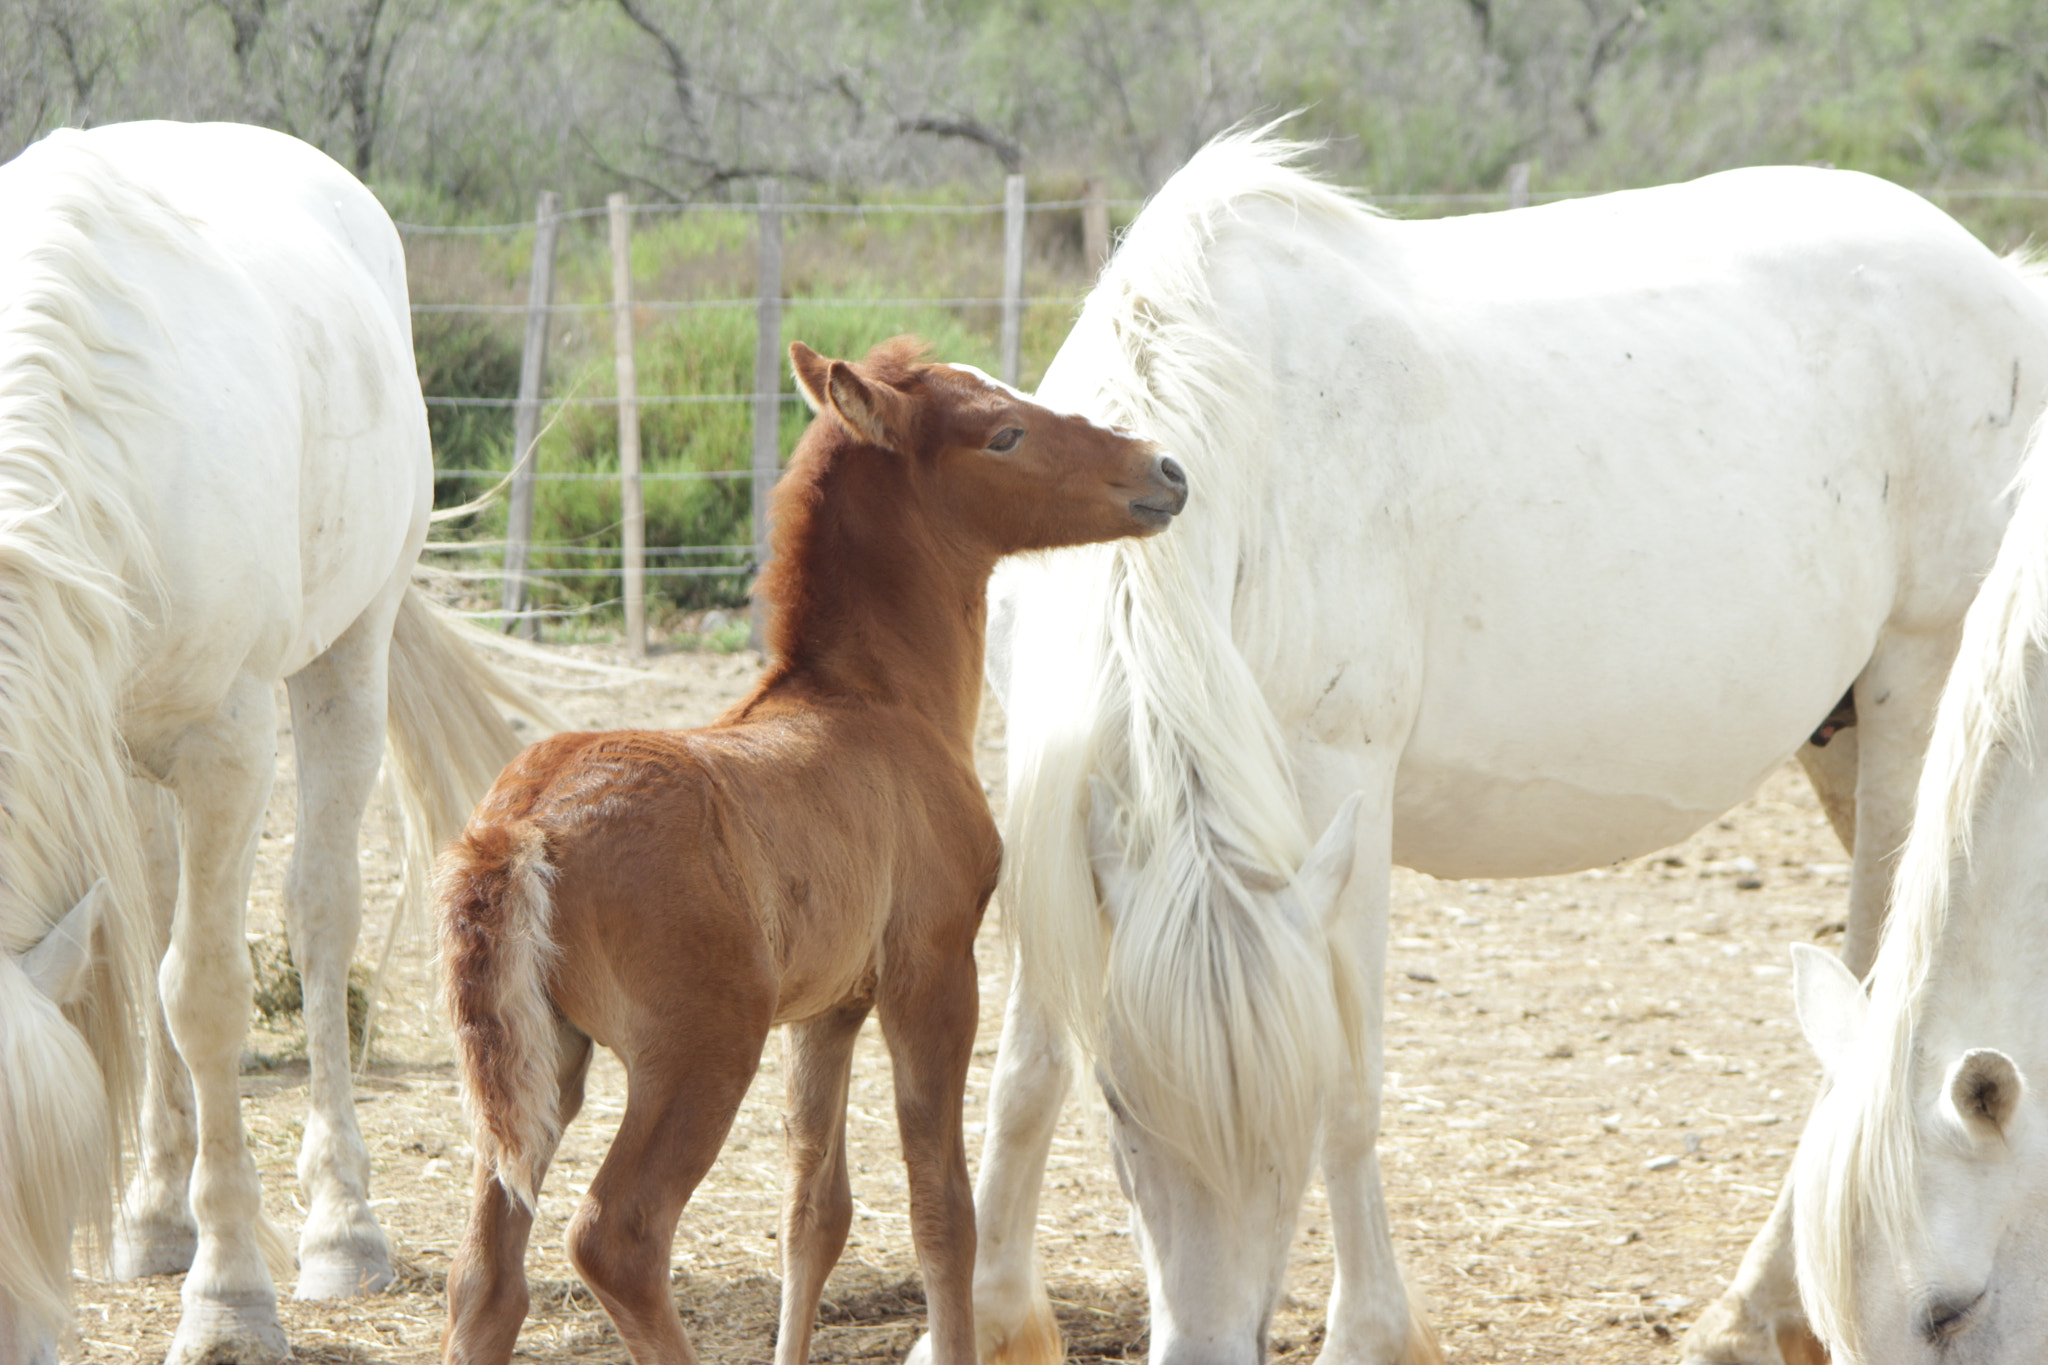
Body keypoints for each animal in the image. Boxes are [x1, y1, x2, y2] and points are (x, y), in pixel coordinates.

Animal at [0, 121, 538, 1365]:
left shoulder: (227, 744)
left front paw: (231, 1301)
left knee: (319, 912)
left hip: (348, 659)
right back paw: (154, 1216)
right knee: (154, 915)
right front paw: (175, 1233)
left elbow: (202, 992)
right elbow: (141, 970)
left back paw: (342, 1228)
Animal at [434, 337, 1187, 1365]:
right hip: (700, 1049)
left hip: (539, 1059)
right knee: (616, 1235)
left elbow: (812, 1211)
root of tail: (524, 821)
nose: (1165, 469)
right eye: (1004, 432)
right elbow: (941, 1209)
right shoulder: (931, 973)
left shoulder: (827, 1010)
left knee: (486, 1277)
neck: (873, 700)